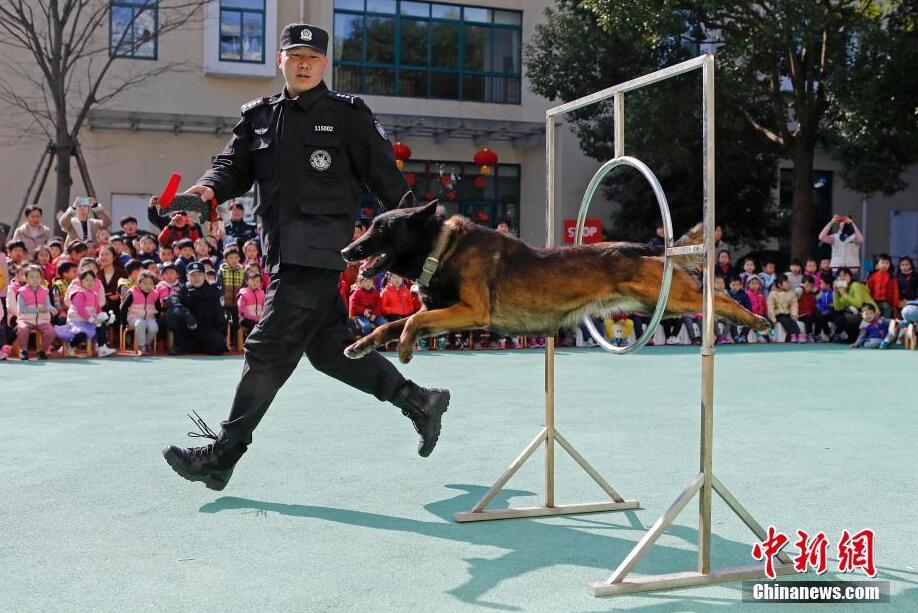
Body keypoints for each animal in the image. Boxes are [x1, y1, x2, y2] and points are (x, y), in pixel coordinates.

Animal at [340, 201, 768, 364]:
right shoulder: (447, 315)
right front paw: (361, 344)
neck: (441, 248)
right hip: (657, 304)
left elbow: (411, 321)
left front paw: (405, 350)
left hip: (671, 299)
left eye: (381, 229)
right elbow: (392, 325)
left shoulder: (469, 312)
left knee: (716, 297)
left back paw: (754, 320)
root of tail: (648, 247)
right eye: (371, 226)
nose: (346, 251)